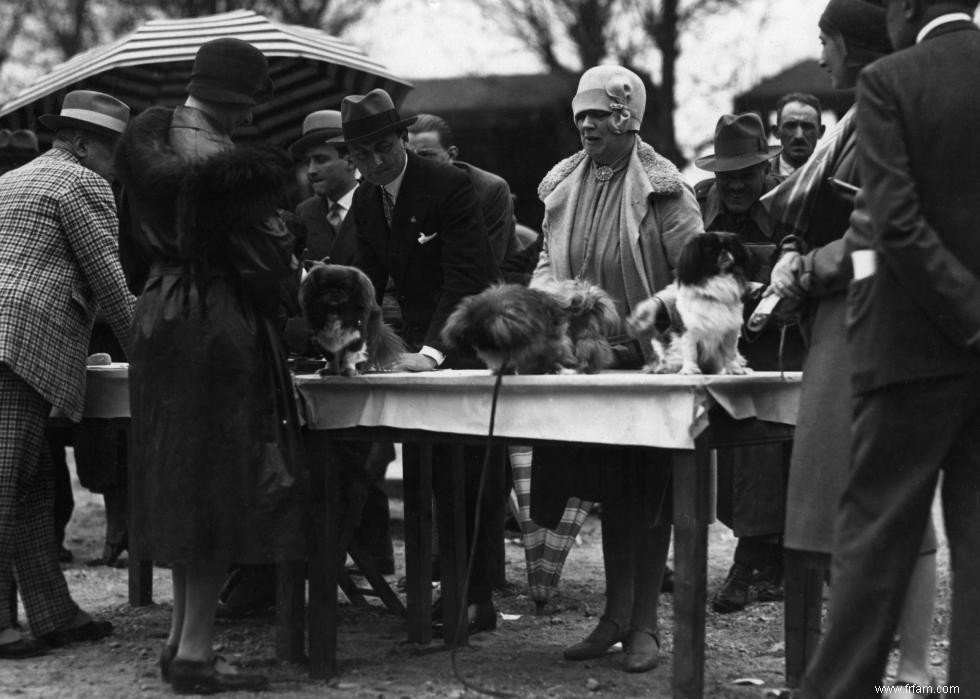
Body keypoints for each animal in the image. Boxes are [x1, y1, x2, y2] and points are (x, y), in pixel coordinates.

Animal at [444, 280, 620, 378]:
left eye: (489, 340)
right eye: (474, 340)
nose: (483, 350)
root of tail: (586, 299)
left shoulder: (549, 344)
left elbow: (548, 358)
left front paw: (547, 370)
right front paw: (504, 371)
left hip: (584, 337)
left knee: (589, 348)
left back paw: (585, 368)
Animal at [624, 231, 756, 374]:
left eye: (730, 247)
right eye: (711, 249)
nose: (724, 251)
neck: (716, 282)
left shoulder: (730, 331)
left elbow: (730, 353)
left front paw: (734, 369)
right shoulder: (690, 331)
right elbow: (691, 352)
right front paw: (690, 370)